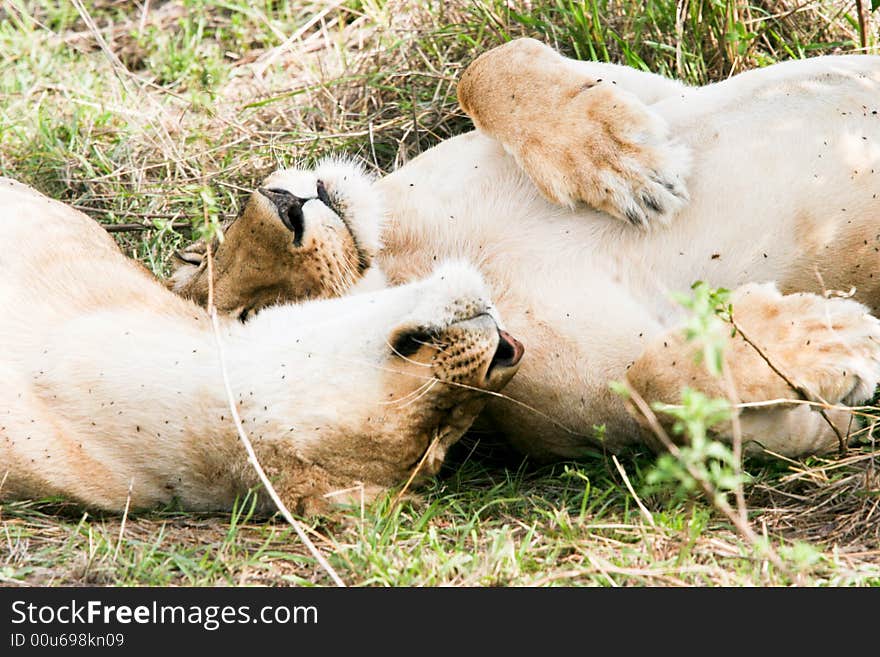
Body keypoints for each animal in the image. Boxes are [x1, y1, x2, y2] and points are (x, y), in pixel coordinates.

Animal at [170, 39, 880, 462]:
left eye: (202, 255)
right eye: (256, 316)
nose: (283, 207)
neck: (412, 253)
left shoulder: (660, 91)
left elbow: (489, 65)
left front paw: (618, 158)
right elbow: (658, 381)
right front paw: (829, 336)